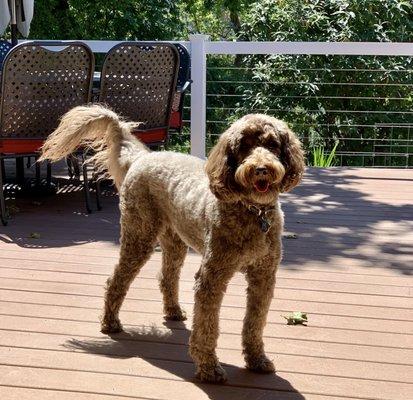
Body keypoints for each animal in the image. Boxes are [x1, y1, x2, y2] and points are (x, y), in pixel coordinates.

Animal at [40, 104, 304, 382]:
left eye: (273, 144)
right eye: (244, 146)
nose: (261, 169)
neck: (252, 211)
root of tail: (141, 157)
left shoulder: (263, 276)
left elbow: (255, 322)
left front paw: (256, 359)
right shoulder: (212, 277)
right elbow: (207, 326)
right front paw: (208, 367)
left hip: (174, 241)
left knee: (167, 277)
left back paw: (173, 310)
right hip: (139, 234)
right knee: (116, 280)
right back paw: (110, 323)